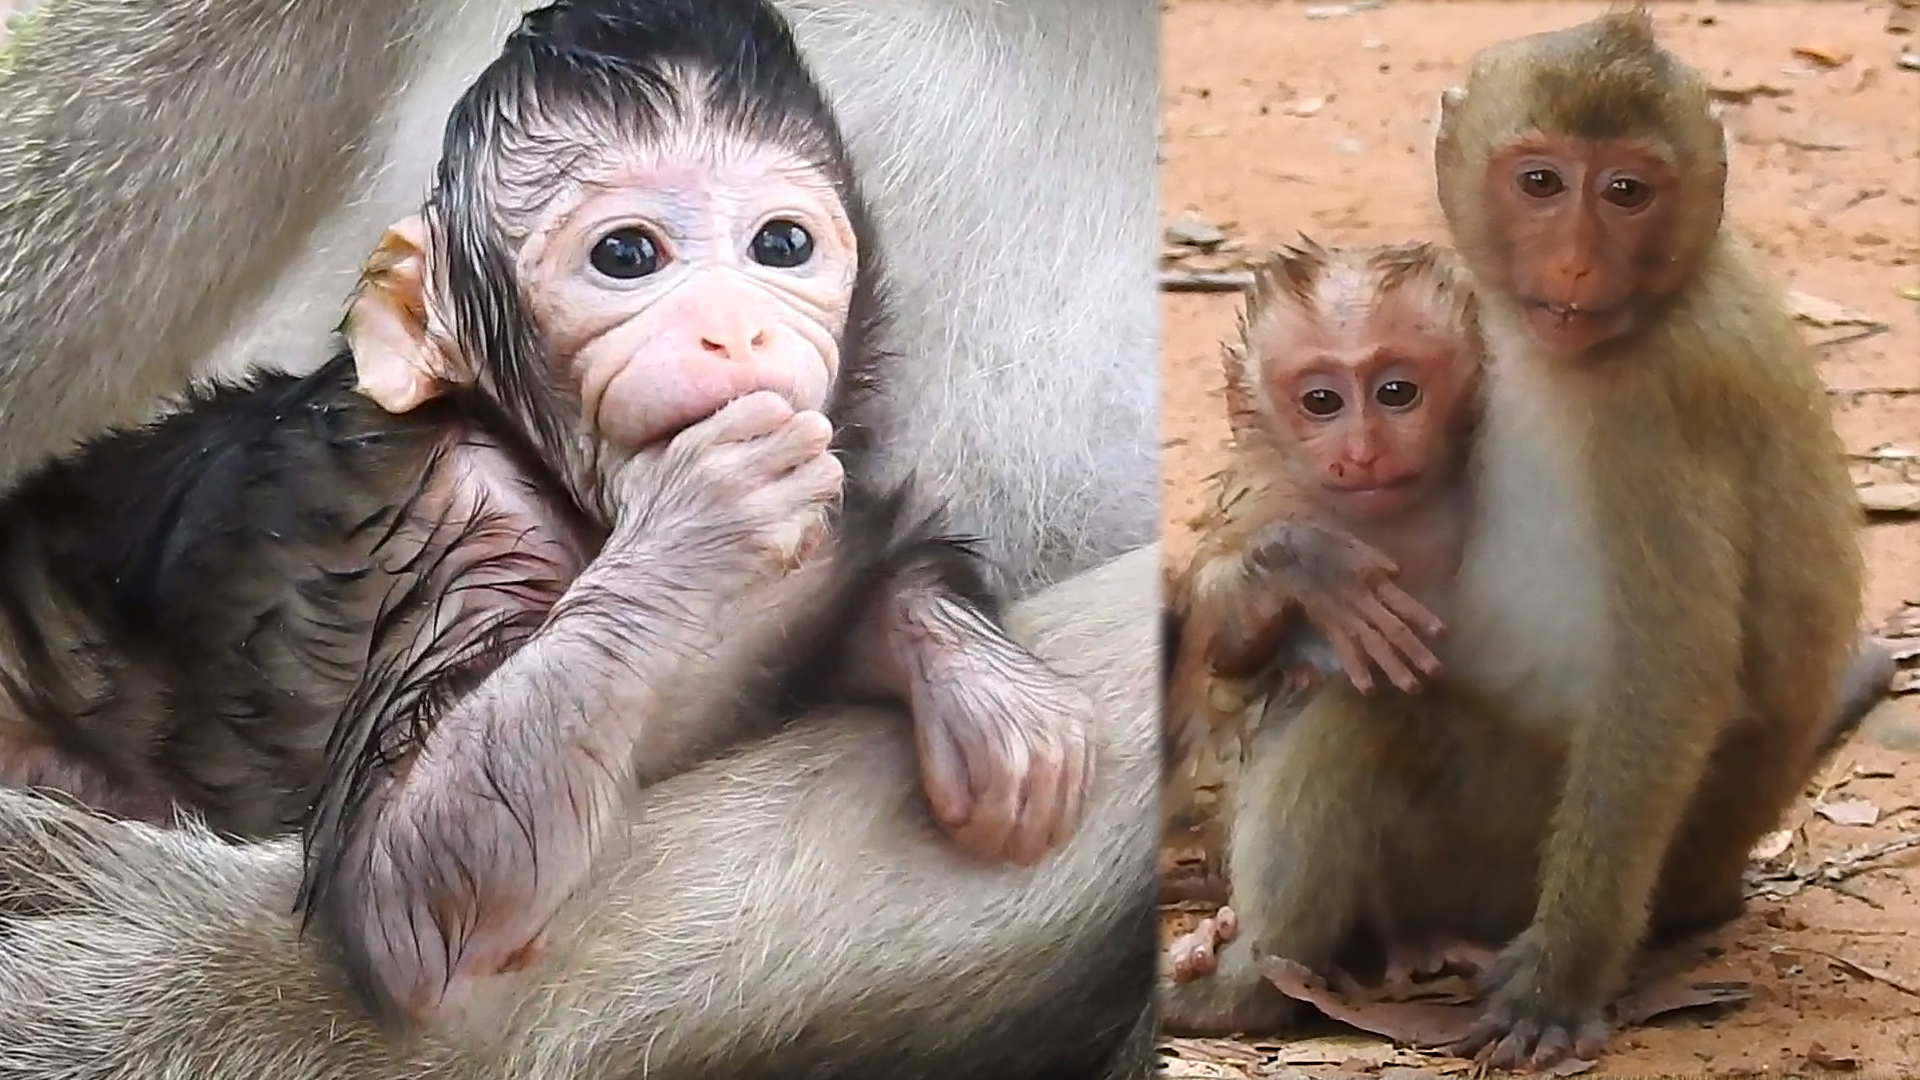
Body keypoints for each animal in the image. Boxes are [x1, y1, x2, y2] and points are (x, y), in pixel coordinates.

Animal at [0, 1, 1161, 1076]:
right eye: (626, 256)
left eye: (781, 245)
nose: (734, 328)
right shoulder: (465, 524)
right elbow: (411, 897)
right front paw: (701, 514)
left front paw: (981, 690)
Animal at [1157, 10, 1889, 1071]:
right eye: (1541, 181)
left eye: (1626, 190)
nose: (1577, 259)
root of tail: (1711, 888)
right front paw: (1293, 569)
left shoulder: (1660, 404)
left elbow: (1668, 680)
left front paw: (1558, 982)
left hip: (1497, 859)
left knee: (1355, 718)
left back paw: (1252, 986)